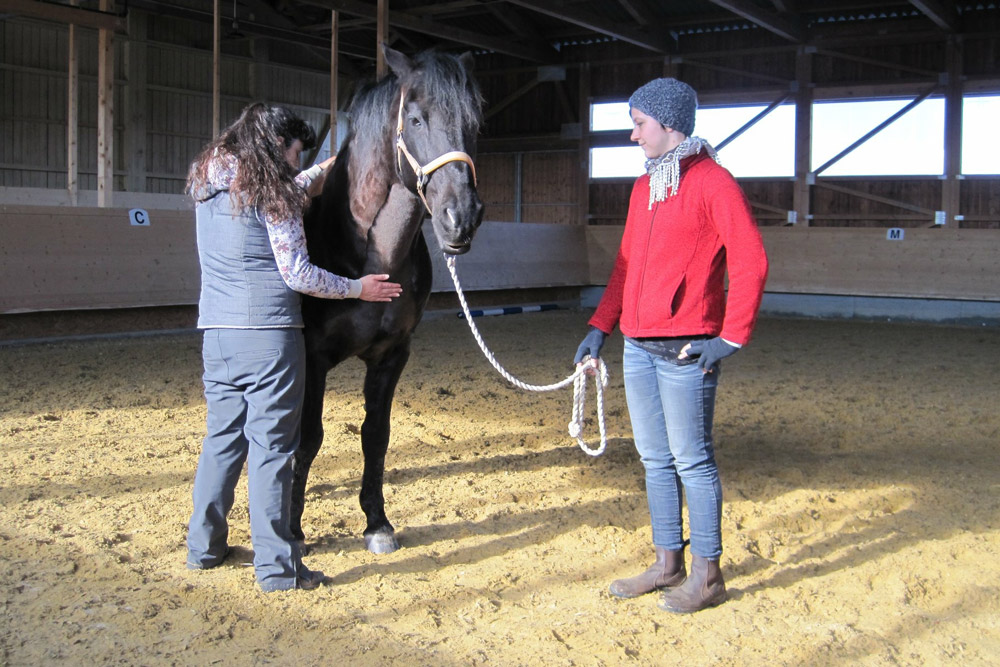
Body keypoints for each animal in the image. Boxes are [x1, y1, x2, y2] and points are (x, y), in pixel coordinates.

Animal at [291, 46, 484, 554]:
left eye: (474, 123)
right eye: (415, 119)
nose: (462, 217)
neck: (371, 257)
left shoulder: (392, 355)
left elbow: (375, 435)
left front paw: (376, 522)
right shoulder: (312, 356)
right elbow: (309, 436)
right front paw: (292, 532)